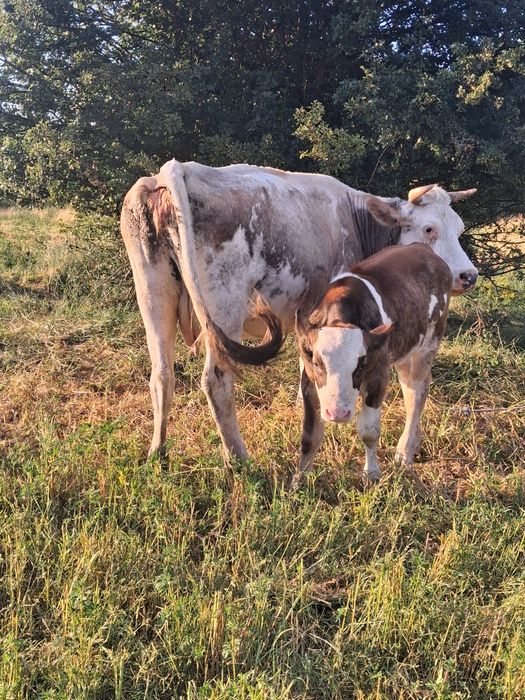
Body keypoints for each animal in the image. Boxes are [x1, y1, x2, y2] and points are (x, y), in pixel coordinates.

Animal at [120, 158, 477, 463]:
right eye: (429, 229)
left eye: (459, 229)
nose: (467, 275)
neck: (358, 222)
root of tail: (178, 169)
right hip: (225, 304)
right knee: (215, 381)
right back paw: (238, 457)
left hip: (153, 292)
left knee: (162, 374)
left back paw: (158, 451)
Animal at [293, 243, 452, 488]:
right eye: (318, 364)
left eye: (360, 366)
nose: (337, 413)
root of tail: (422, 247)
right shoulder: (309, 382)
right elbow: (309, 435)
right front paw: (300, 480)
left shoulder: (378, 375)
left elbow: (369, 432)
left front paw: (372, 473)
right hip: (404, 350)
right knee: (413, 389)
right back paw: (414, 443)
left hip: (429, 342)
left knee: (416, 395)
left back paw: (404, 452)